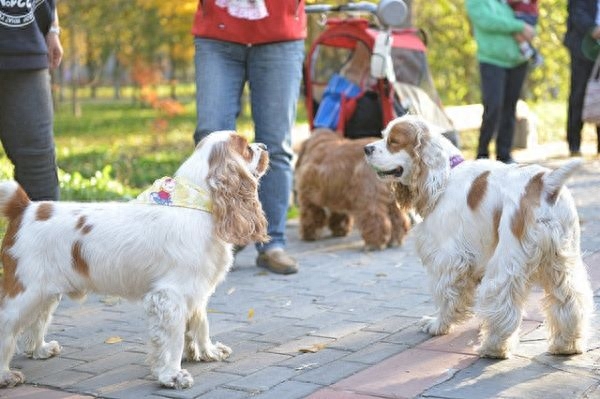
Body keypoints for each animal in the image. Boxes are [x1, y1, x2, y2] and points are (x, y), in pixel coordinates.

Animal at [0, 132, 268, 390]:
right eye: (247, 148)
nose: (264, 146)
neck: (197, 202)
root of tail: (25, 208)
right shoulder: (170, 296)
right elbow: (174, 340)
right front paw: (172, 376)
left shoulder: (196, 290)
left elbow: (201, 325)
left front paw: (208, 352)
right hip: (26, 291)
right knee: (7, 324)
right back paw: (6, 374)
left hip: (45, 293)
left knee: (37, 321)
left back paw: (40, 350)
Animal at [364, 115, 592, 360]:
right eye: (384, 135)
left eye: (394, 142)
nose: (366, 148)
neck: (444, 177)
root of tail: (545, 182)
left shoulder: (449, 259)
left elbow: (446, 296)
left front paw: (437, 324)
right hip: (561, 262)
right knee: (571, 300)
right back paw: (566, 344)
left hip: (508, 261)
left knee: (503, 301)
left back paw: (494, 347)